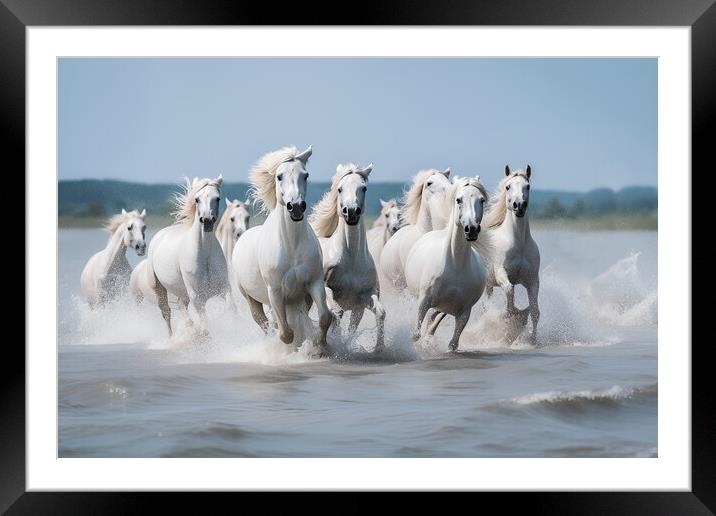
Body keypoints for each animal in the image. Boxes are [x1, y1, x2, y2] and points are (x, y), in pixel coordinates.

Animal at [143, 175, 227, 336]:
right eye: (197, 199)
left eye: (217, 198)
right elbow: (205, 328)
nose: (207, 221)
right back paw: (171, 338)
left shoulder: (224, 291)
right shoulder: (197, 297)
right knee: (166, 312)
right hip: (159, 288)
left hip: (182, 293)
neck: (205, 255)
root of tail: (160, 234)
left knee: (183, 311)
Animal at [310, 162, 386, 350]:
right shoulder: (327, 291)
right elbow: (336, 313)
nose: (351, 212)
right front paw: (336, 344)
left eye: (363, 188)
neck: (351, 260)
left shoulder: (362, 301)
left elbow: (380, 313)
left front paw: (378, 348)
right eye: (340, 189)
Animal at [406, 177, 490, 350]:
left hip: (444, 307)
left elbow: (453, 344)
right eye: (458, 200)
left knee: (433, 320)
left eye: (482, 200)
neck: (455, 265)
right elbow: (415, 335)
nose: (471, 229)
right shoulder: (423, 302)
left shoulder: (464, 312)